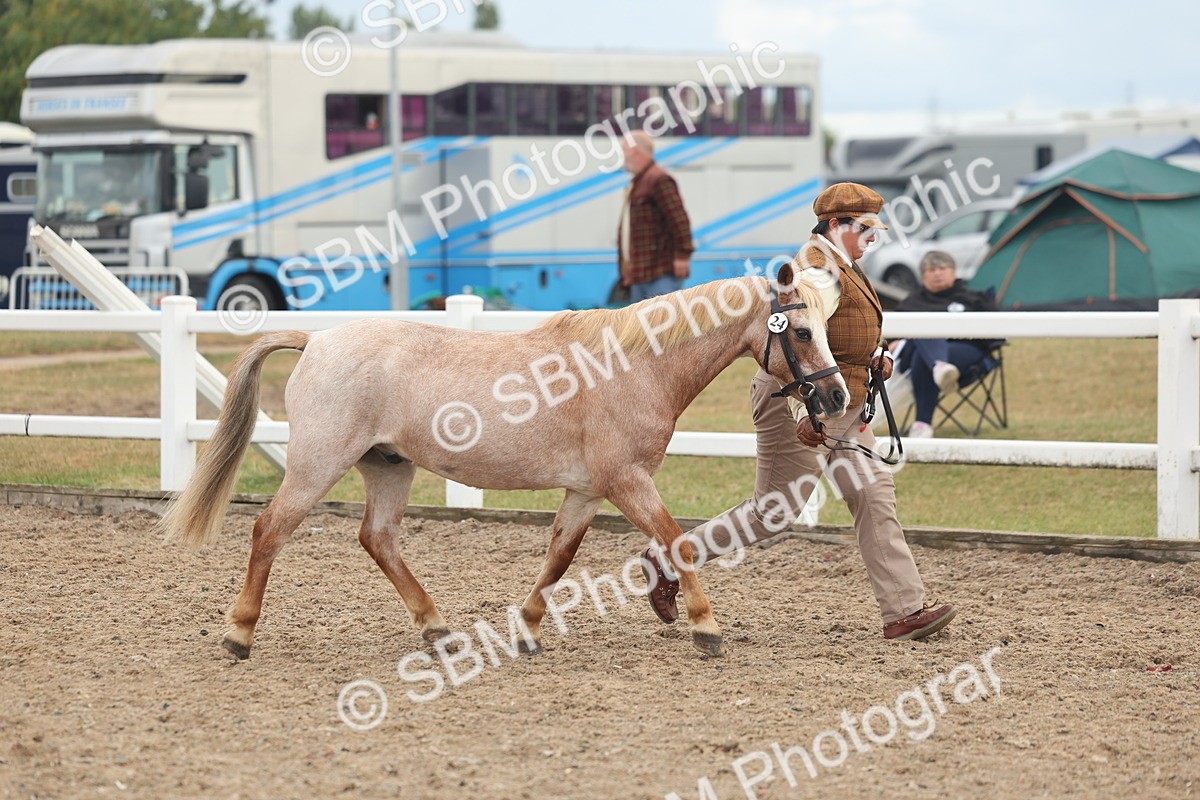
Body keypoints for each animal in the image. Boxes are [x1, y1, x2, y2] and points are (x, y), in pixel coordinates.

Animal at [158, 263, 849, 659]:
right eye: (803, 331)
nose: (839, 397)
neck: (633, 365)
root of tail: (317, 338)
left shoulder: (588, 491)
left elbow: (559, 557)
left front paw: (528, 631)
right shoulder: (627, 482)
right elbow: (675, 540)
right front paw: (705, 627)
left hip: (388, 465)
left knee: (377, 538)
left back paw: (438, 629)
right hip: (315, 466)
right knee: (269, 529)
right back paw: (239, 634)